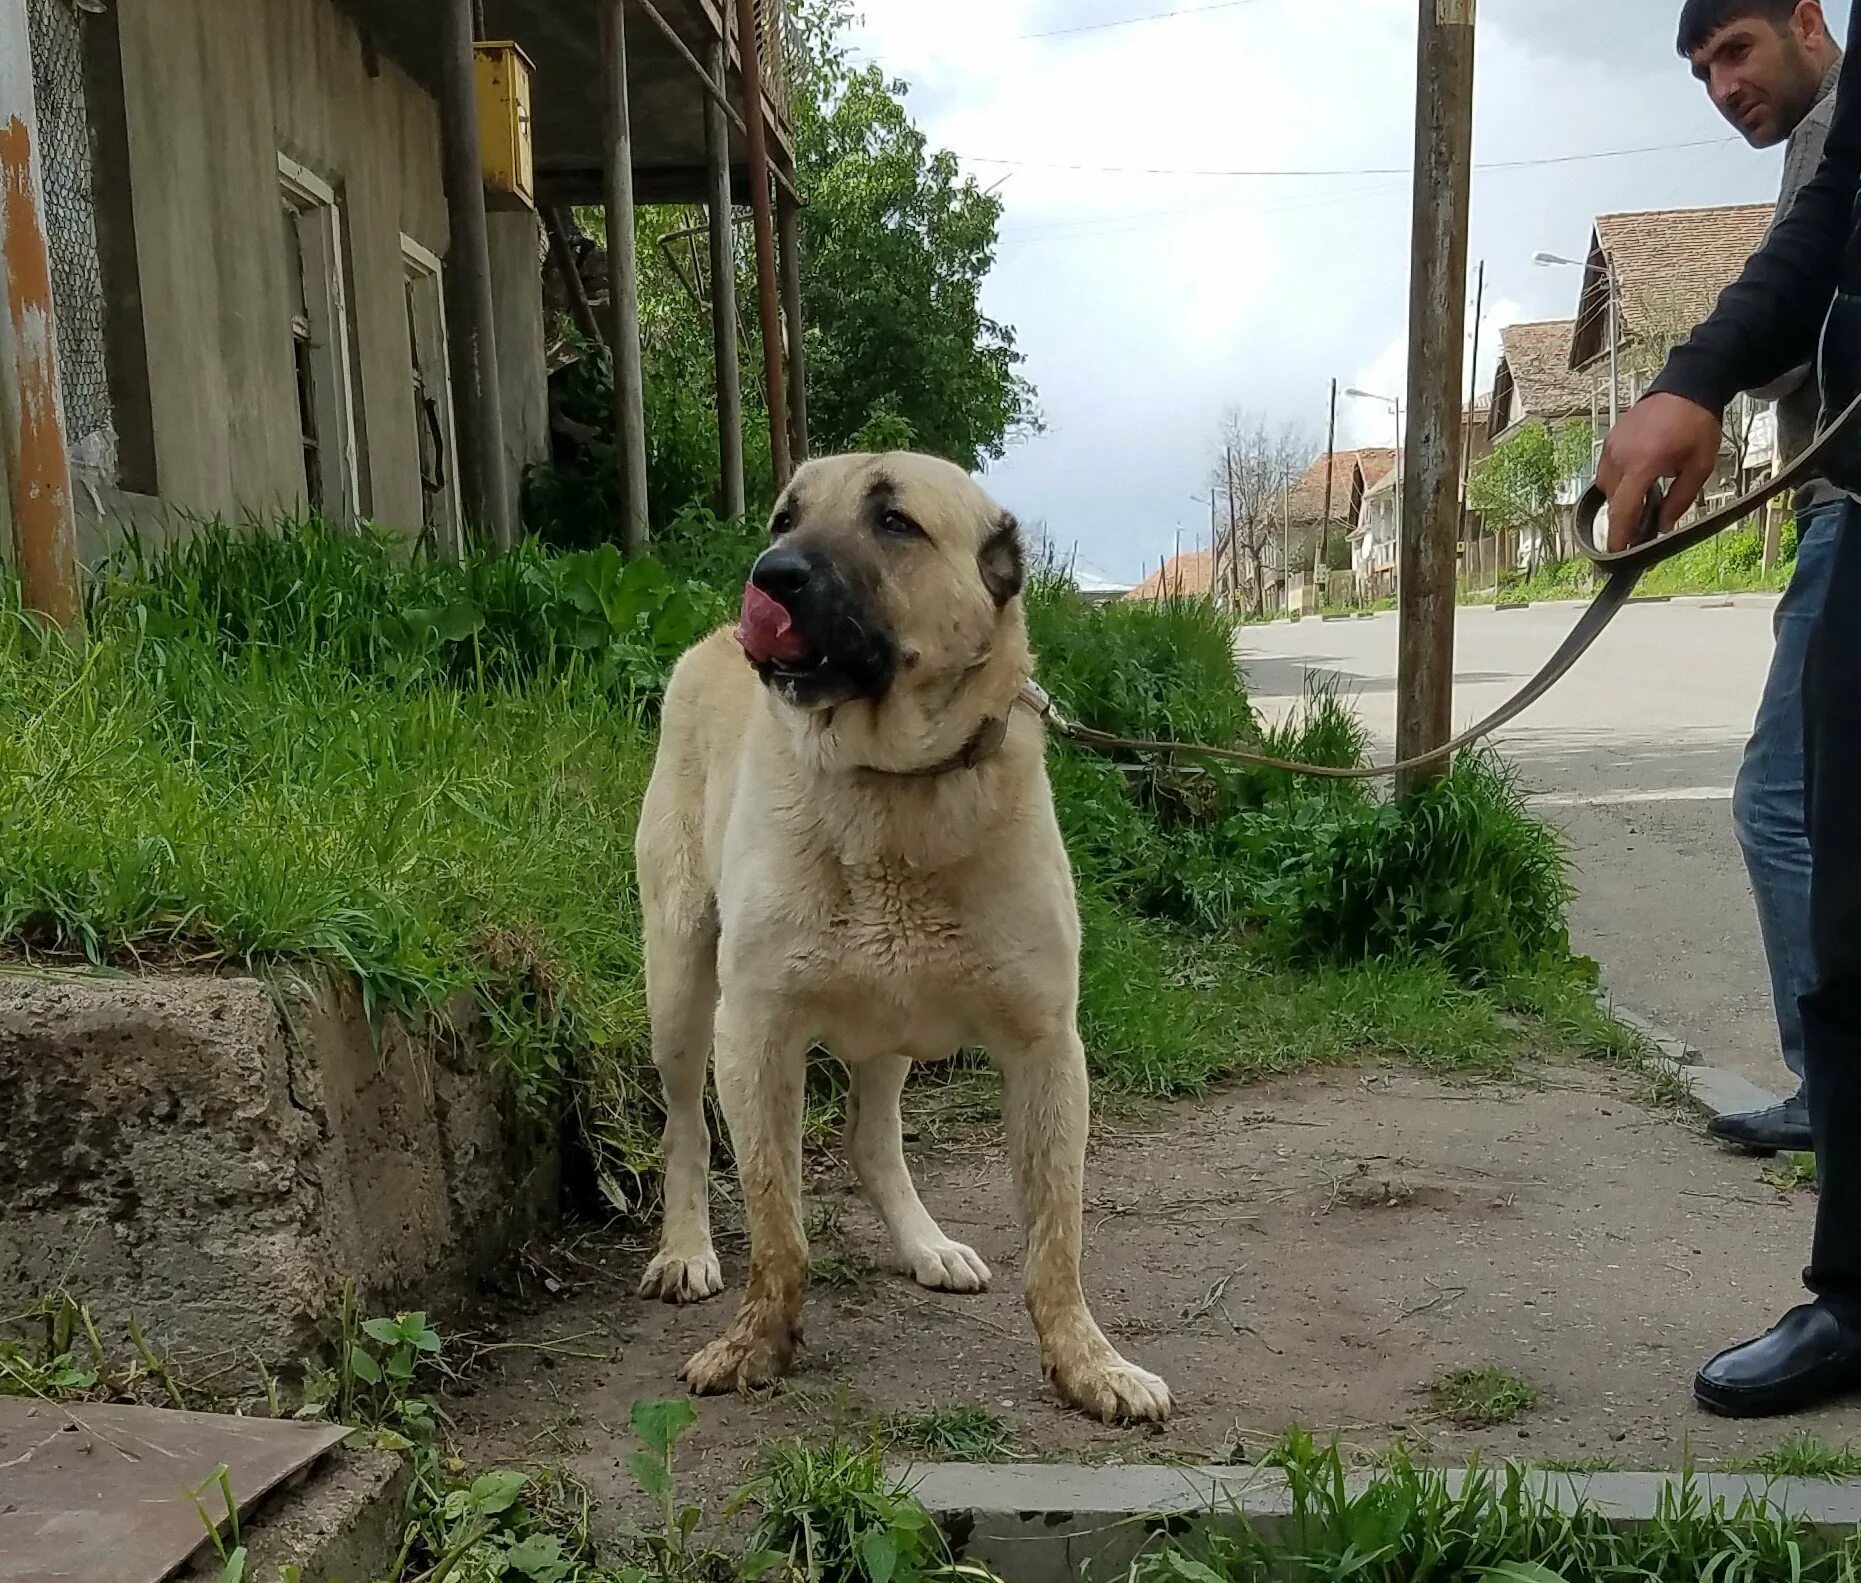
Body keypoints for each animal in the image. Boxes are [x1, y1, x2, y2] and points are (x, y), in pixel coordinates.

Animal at [632, 448, 1168, 1421]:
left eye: (893, 522)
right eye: (782, 517)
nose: (768, 577)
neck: (892, 786)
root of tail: (706, 643)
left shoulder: (1046, 1048)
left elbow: (1057, 1241)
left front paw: (1086, 1362)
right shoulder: (754, 1031)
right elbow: (777, 1227)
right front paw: (755, 1343)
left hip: (888, 1025)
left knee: (870, 1136)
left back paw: (925, 1243)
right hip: (680, 987)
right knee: (686, 1127)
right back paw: (685, 1249)